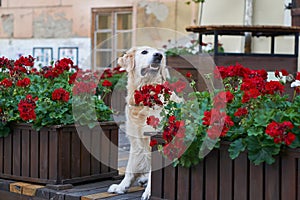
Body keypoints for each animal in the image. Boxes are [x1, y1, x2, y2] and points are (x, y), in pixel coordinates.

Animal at [108, 46, 169, 199]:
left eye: (159, 53)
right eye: (144, 52)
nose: (159, 56)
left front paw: (149, 192)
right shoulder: (135, 139)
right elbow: (130, 167)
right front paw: (121, 187)